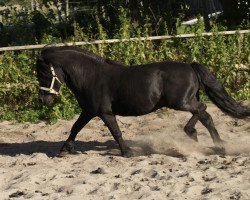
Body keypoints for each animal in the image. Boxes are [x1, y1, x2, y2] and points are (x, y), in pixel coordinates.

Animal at [36, 46, 249, 157]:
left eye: (44, 74)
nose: (43, 100)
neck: (91, 76)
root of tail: (190, 66)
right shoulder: (89, 111)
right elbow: (75, 128)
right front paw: (64, 150)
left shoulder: (105, 112)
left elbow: (116, 132)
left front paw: (127, 152)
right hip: (186, 101)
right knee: (206, 117)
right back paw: (216, 145)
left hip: (181, 102)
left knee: (202, 110)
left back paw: (193, 134)